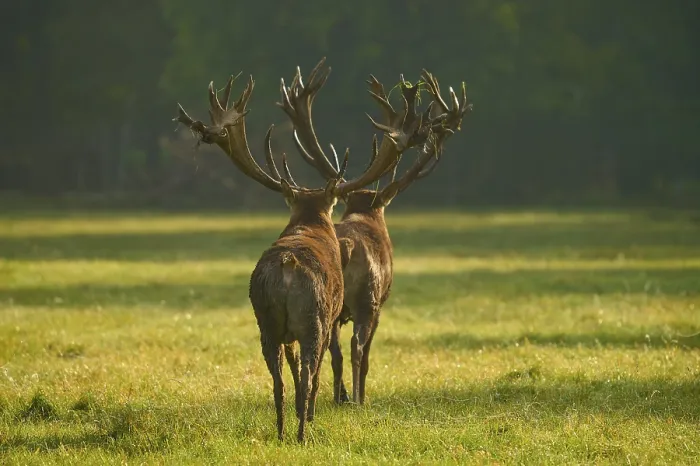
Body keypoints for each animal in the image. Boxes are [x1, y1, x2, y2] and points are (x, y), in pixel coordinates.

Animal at [172, 59, 438, 442]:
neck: (311, 223)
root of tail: (286, 265)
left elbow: (293, 368)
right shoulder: (338, 314)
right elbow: (326, 363)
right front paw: (317, 410)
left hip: (266, 321)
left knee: (279, 379)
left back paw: (283, 429)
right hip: (318, 317)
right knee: (322, 363)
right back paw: (305, 428)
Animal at [277, 61, 471, 406]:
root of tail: (347, 246)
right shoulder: (382, 301)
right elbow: (366, 353)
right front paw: (360, 394)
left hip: (336, 302)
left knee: (334, 349)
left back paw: (340, 396)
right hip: (368, 298)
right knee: (357, 348)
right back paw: (357, 398)